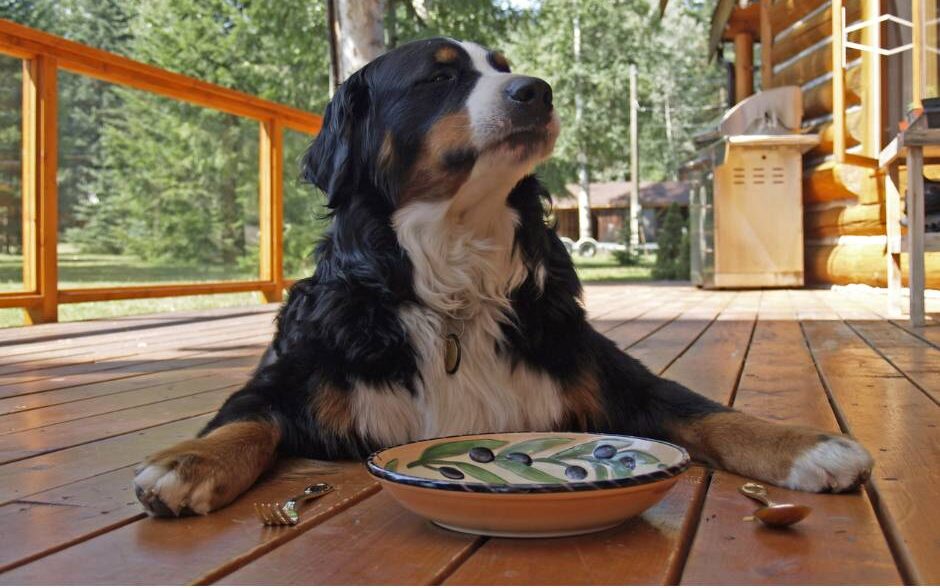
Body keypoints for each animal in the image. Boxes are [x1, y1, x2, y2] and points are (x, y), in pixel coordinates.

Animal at [132, 36, 872, 516]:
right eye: (438, 79)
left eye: (505, 68)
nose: (536, 91)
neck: (454, 279)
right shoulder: (292, 376)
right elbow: (246, 421)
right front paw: (186, 462)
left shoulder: (608, 373)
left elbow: (707, 411)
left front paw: (806, 446)